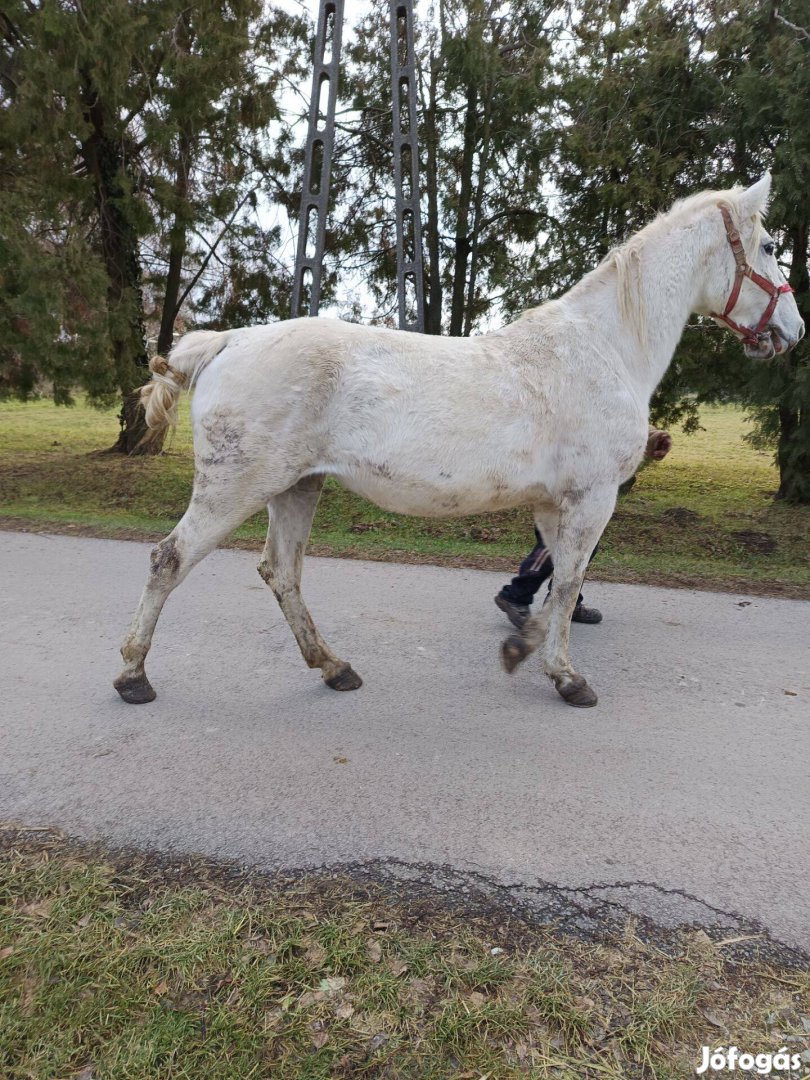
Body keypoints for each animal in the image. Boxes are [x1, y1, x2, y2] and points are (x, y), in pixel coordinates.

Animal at [115, 174, 807, 708]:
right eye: (772, 245)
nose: (795, 329)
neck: (604, 347)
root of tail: (229, 341)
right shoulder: (592, 498)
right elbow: (568, 581)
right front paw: (565, 676)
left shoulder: (555, 503)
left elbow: (555, 578)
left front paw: (525, 642)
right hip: (236, 486)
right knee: (169, 560)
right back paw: (133, 675)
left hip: (297, 488)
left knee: (282, 573)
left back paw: (336, 668)